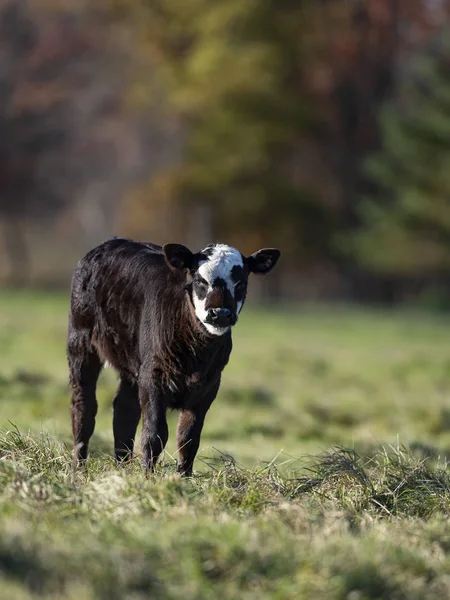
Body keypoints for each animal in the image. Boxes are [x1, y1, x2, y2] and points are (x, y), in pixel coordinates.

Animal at [67, 237, 280, 476]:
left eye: (241, 282)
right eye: (199, 280)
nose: (220, 314)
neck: (196, 354)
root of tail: (109, 243)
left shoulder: (209, 385)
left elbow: (188, 438)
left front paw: (183, 479)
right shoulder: (153, 376)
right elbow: (155, 434)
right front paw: (147, 478)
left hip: (133, 364)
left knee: (124, 410)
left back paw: (122, 468)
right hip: (81, 342)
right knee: (84, 406)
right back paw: (79, 469)